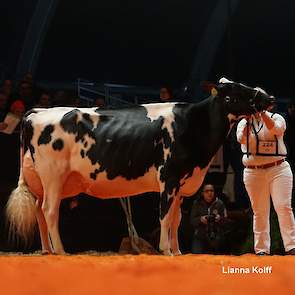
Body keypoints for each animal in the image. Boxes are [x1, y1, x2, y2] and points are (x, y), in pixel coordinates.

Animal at [6, 77, 276, 256]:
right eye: (237, 90)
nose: (270, 97)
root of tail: (36, 112)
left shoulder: (182, 184)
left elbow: (177, 218)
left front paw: (177, 252)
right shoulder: (168, 177)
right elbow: (165, 216)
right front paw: (166, 250)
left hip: (43, 180)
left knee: (39, 210)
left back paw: (46, 250)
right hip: (53, 176)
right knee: (50, 211)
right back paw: (61, 251)